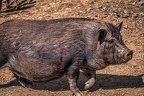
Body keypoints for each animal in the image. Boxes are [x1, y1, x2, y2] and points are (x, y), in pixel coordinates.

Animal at [0, 17, 133, 95]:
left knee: (17, 74)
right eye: (110, 40)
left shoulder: (85, 63)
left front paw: (86, 87)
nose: (130, 52)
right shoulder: (73, 62)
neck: (90, 43)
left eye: (121, 38)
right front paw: (79, 93)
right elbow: (73, 78)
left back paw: (29, 85)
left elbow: (93, 75)